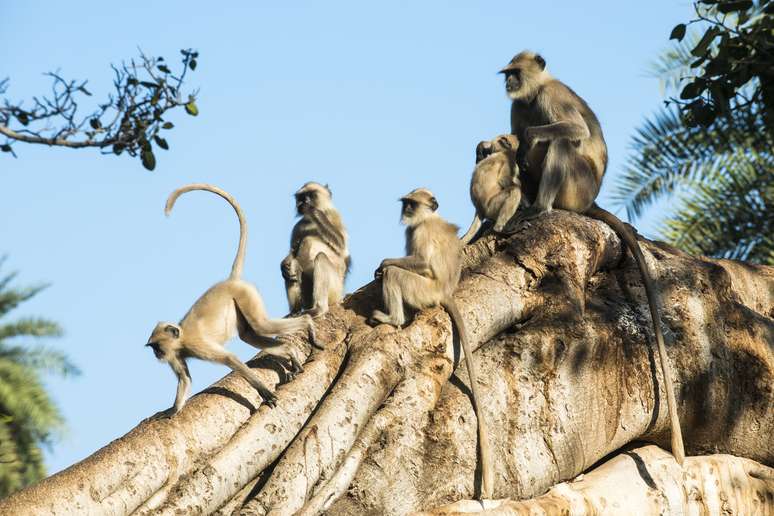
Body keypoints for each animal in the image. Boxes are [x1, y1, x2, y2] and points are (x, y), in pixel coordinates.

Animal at [147, 183, 316, 418]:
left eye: (156, 347)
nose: (156, 354)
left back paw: (307, 323)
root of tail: (231, 281)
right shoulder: (176, 353)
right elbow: (185, 379)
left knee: (262, 325)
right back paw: (289, 352)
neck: (182, 337)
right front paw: (173, 410)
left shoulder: (195, 345)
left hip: (246, 295)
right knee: (250, 335)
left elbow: (230, 359)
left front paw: (265, 393)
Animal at [280, 181, 350, 318]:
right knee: (292, 268)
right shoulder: (298, 226)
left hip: (335, 290)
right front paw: (284, 262)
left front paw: (316, 213)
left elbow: (342, 248)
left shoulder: (333, 214)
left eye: (311, 194)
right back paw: (294, 311)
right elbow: (293, 249)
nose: (304, 201)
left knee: (320, 256)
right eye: (301, 197)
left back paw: (319, 309)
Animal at [372, 187, 494, 498]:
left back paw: (394, 318)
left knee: (397, 275)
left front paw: (383, 263)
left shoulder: (418, 230)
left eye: (412, 205)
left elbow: (422, 262)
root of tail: (445, 292)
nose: (405, 211)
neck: (429, 217)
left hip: (422, 290)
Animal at [500, 50, 688, 466]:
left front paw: (530, 138)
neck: (532, 94)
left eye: (515, 72)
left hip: (577, 184)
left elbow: (572, 131)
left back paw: (541, 206)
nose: (507, 83)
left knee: (561, 143)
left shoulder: (550, 96)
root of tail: (591, 201)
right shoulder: (518, 106)